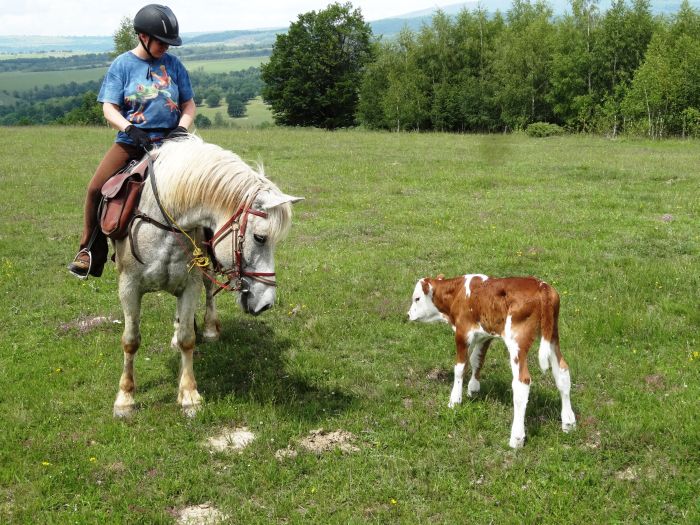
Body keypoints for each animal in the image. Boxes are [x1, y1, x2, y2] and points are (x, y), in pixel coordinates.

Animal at [111, 136, 300, 418]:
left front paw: (189, 395)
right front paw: (125, 399)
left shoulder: (190, 285)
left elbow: (187, 338)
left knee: (210, 291)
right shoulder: (129, 287)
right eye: (259, 237)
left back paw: (210, 328)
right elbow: (130, 341)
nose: (266, 303)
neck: (166, 222)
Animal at [408, 272, 576, 448]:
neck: (459, 293)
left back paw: (516, 438)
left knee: (522, 382)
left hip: (517, 342)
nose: (408, 314)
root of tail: (541, 286)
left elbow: (460, 368)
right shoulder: (485, 335)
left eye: (417, 298)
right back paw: (569, 423)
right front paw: (473, 389)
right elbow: (477, 359)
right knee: (562, 373)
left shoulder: (462, 333)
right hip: (553, 336)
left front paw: (454, 400)